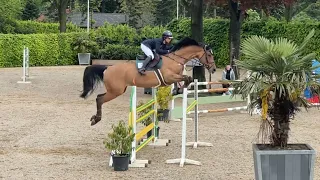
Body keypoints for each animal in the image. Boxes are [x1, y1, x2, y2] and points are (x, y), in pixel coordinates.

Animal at [79, 37, 218, 126]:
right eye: (209, 55)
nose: (214, 69)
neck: (175, 60)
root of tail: (108, 68)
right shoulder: (169, 77)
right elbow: (186, 78)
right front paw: (178, 89)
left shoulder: (175, 76)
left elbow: (186, 79)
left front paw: (177, 90)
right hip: (115, 91)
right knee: (99, 99)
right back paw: (96, 119)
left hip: (117, 90)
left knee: (99, 97)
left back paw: (95, 118)